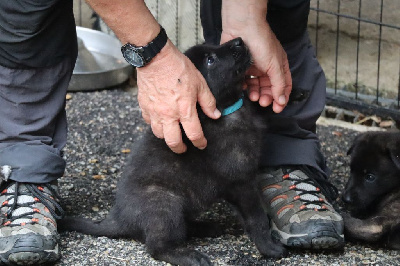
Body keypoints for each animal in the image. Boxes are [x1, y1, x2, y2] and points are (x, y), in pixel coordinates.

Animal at [59, 38, 286, 264]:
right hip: (165, 204)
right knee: (157, 246)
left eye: (213, 46)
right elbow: (257, 218)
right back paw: (189, 255)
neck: (227, 110)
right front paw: (268, 246)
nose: (239, 40)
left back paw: (204, 227)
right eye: (211, 60)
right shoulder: (241, 183)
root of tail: (118, 218)